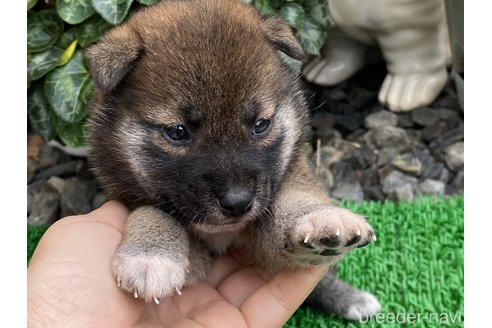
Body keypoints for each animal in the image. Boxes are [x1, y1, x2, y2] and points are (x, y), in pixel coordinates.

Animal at [86, 0, 380, 320]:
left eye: (261, 125)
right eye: (177, 132)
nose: (238, 203)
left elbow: (293, 199)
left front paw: (319, 219)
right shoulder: (128, 198)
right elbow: (154, 212)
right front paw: (151, 256)